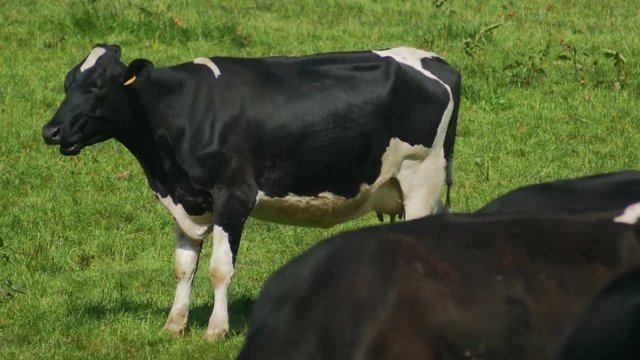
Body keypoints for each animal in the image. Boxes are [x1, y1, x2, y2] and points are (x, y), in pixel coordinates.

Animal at [41, 43, 460, 338]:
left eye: (96, 86)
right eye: (66, 84)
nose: (50, 131)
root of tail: (435, 62)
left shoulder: (233, 196)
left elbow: (219, 269)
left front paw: (216, 330)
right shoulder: (186, 201)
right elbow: (183, 267)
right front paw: (174, 325)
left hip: (421, 176)